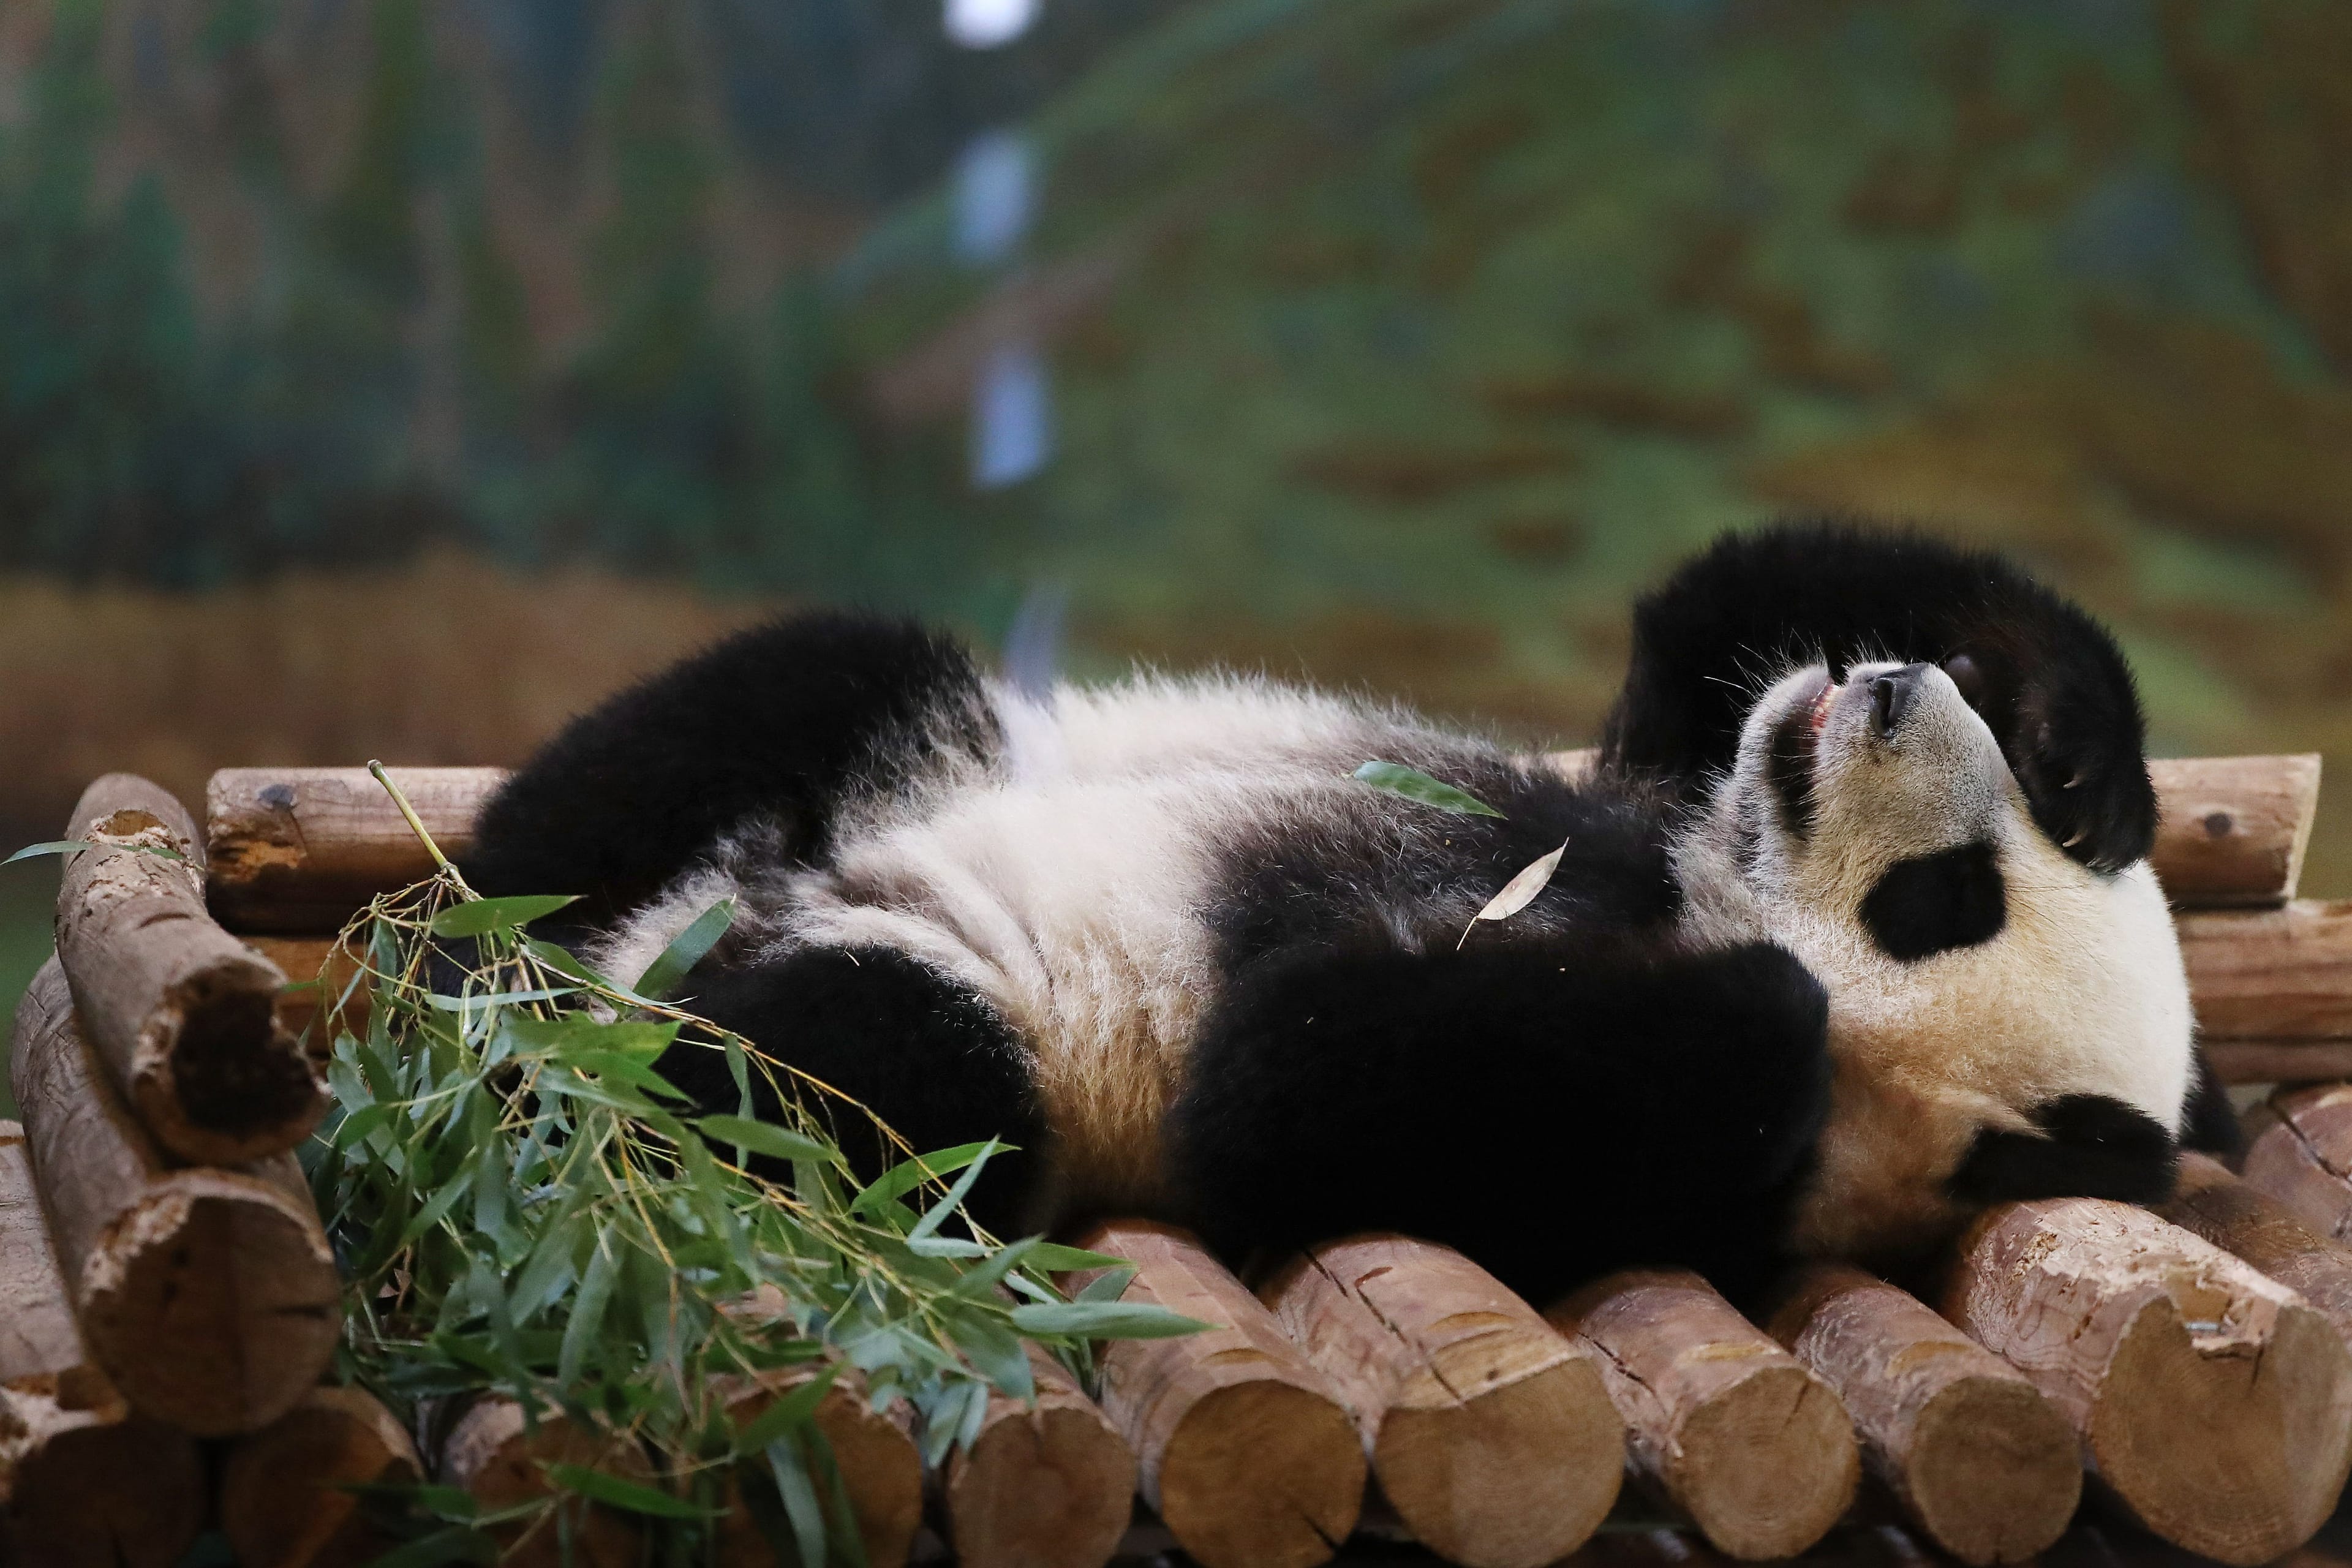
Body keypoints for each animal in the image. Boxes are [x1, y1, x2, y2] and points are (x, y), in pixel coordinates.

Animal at [463, 522, 2238, 1307]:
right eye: (1994, 856)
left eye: (1946, 900)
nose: (1885, 690)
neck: (1694, 890)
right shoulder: (1659, 777)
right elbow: (1687, 646)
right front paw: (2072, 733)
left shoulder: (1666, 1174)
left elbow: (1291, 1087)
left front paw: (1772, 1008)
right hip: (901, 756)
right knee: (776, 699)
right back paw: (465, 959)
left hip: (955, 1038)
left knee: (849, 1073)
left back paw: (554, 1082)